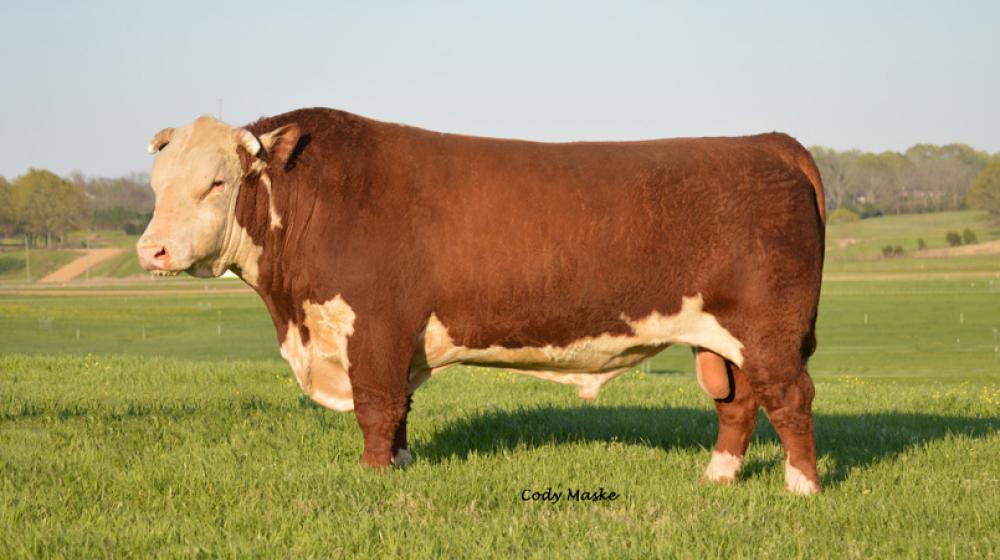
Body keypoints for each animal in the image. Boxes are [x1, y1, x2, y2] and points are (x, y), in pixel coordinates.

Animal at [141, 108, 828, 494]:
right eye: (155, 184)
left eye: (217, 182)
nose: (151, 250)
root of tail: (767, 142)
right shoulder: (394, 336)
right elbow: (400, 408)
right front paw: (402, 462)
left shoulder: (377, 326)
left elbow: (376, 405)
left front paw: (373, 476)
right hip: (724, 337)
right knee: (737, 403)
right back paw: (717, 478)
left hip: (770, 330)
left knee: (790, 398)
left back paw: (801, 488)